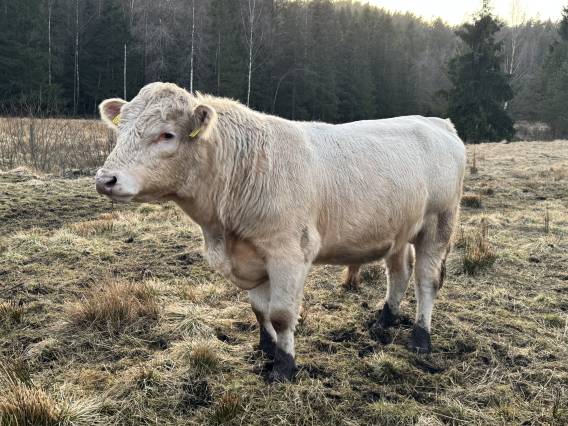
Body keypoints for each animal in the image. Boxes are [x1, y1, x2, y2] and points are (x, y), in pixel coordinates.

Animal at [96, 82, 466, 382]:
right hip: (399, 230)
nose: (105, 179)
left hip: (438, 224)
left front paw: (284, 367)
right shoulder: (253, 257)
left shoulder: (288, 253)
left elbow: (282, 315)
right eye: (120, 130)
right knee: (399, 273)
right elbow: (260, 311)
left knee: (425, 281)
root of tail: (437, 122)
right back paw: (384, 321)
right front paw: (265, 350)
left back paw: (420, 339)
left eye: (166, 134)